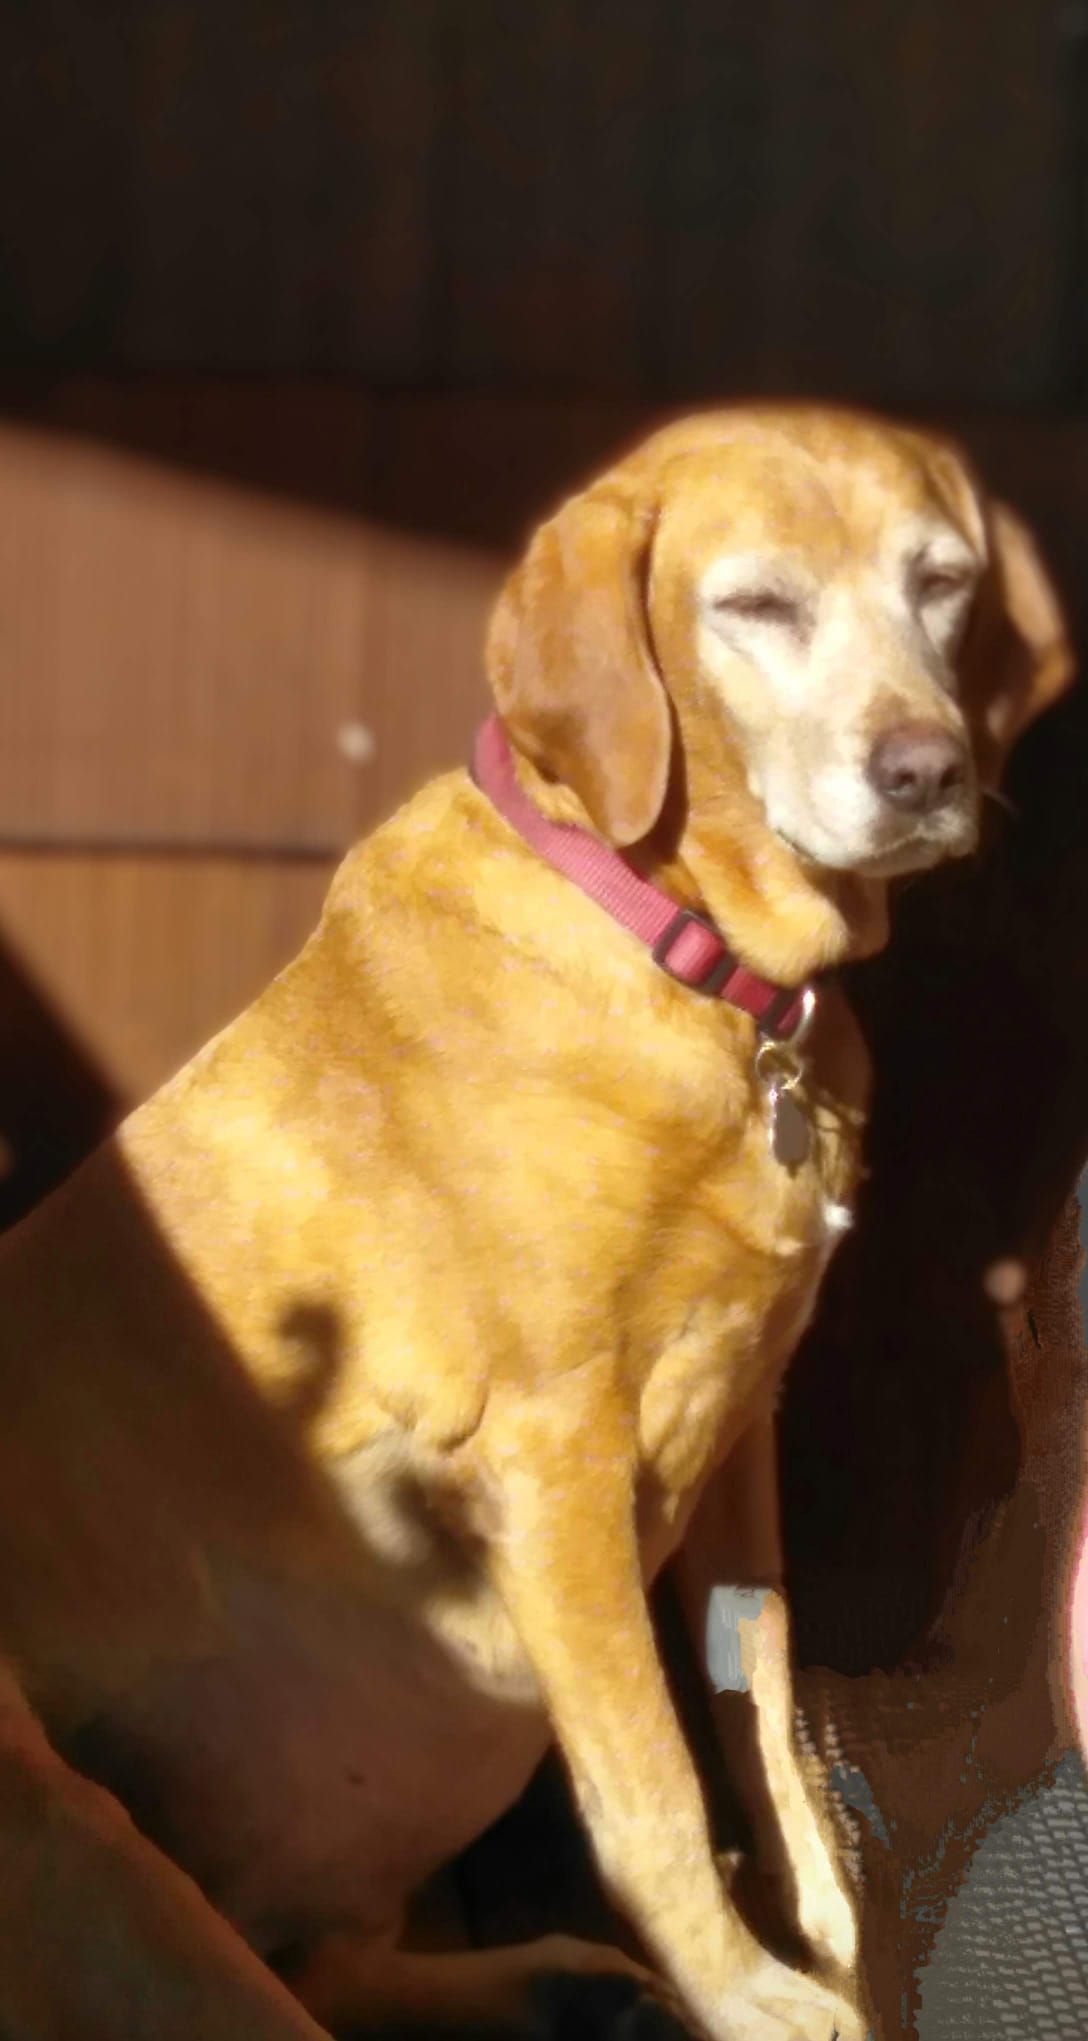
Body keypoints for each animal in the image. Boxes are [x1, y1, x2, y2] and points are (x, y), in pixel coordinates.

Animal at [0, 407, 1070, 2041]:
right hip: (66, 1821)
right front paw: (748, 1993)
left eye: (941, 580)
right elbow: (651, 1787)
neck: (693, 970)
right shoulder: (553, 1455)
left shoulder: (744, 1422)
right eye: (755, 605)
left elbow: (759, 1701)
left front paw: (827, 1925)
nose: (924, 769)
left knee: (324, 1958)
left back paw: (566, 1986)